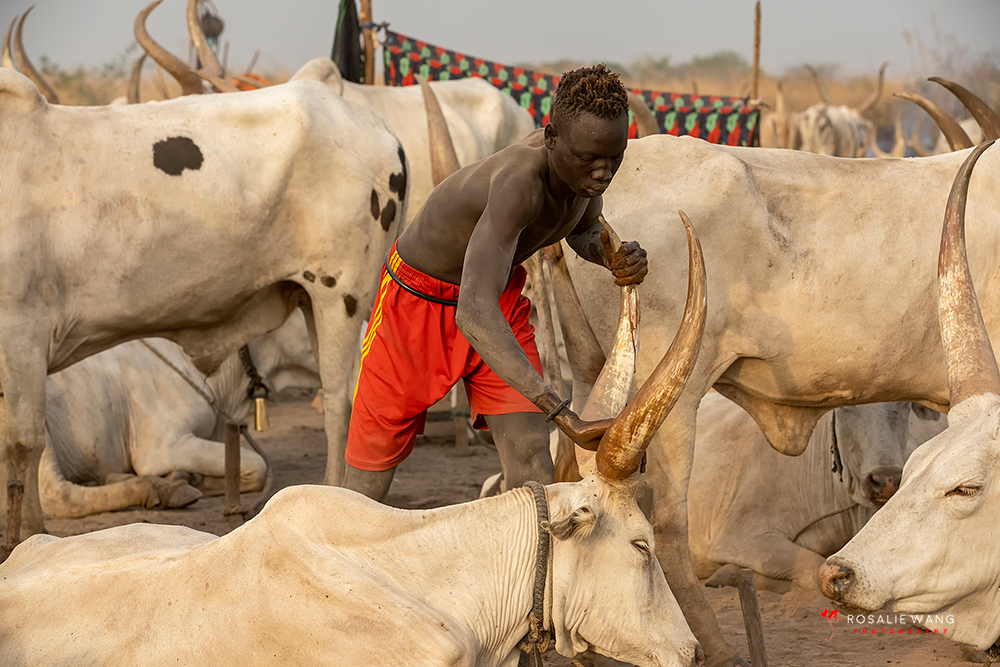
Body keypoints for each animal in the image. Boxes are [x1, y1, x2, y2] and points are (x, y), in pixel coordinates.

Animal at [36, 310, 320, 519]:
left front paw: (190, 477)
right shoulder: (162, 448)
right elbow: (258, 466)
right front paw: (188, 479)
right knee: (56, 495)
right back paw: (158, 489)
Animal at [688, 393, 945, 593]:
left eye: (904, 404)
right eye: (845, 409)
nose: (885, 479)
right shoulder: (739, 536)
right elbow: (813, 571)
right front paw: (728, 574)